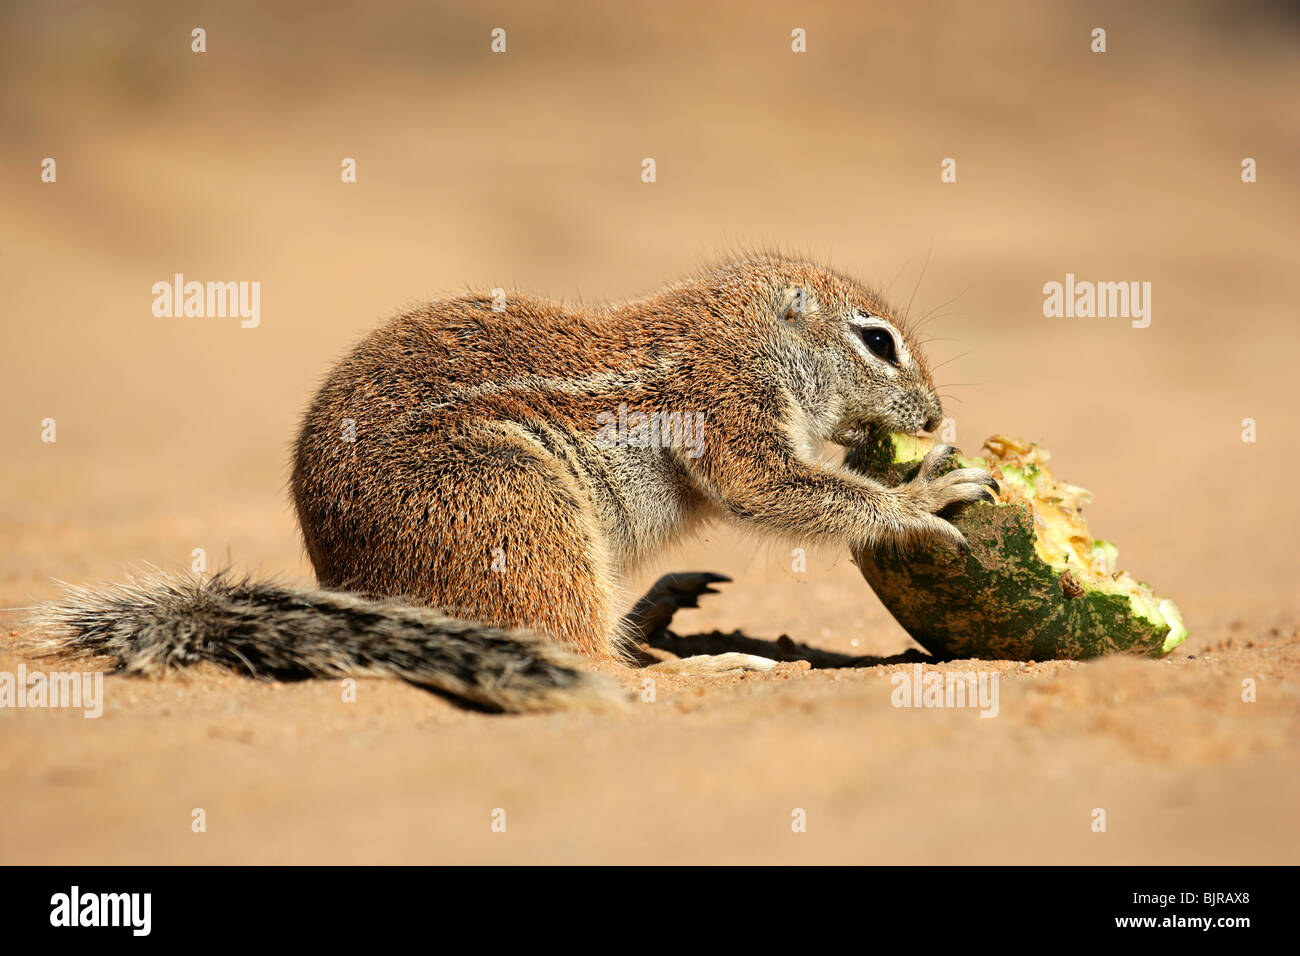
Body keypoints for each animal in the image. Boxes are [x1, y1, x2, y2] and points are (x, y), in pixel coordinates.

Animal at [38, 252, 993, 712]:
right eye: (878, 341)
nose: (933, 416)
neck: (743, 329)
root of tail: (360, 586)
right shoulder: (728, 404)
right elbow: (777, 489)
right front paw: (921, 499)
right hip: (519, 504)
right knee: (598, 660)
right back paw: (716, 665)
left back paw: (660, 614)